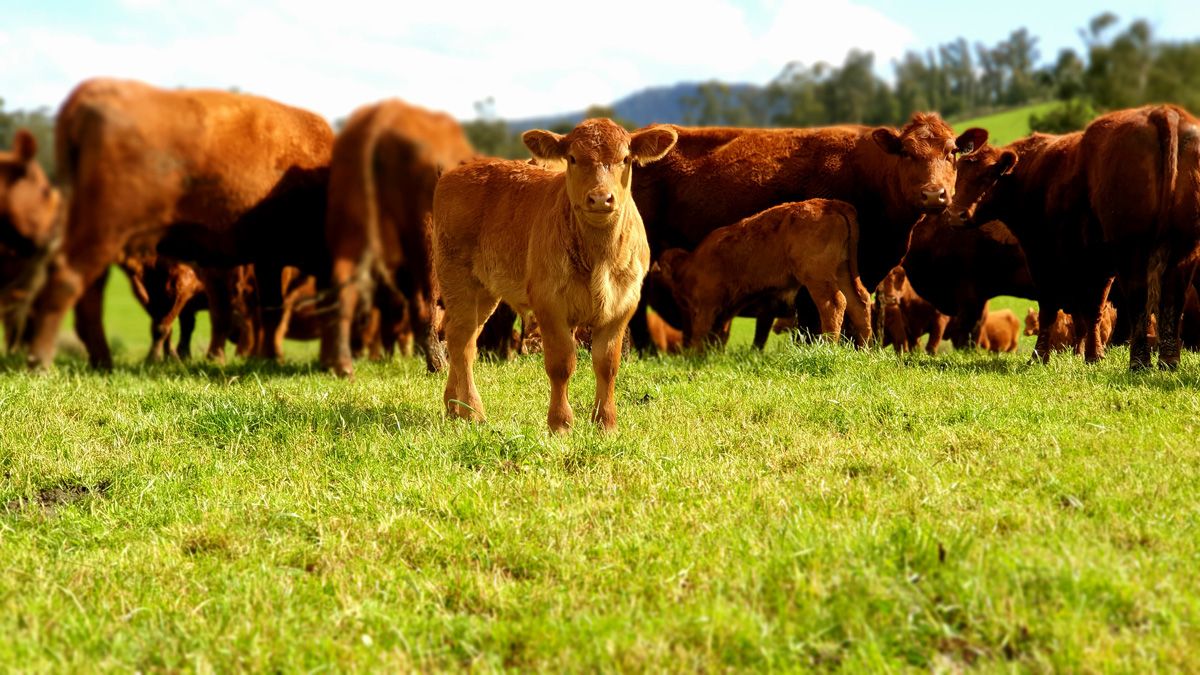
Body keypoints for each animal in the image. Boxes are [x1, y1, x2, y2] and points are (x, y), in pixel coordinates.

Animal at [26, 78, 333, 370]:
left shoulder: (268, 259)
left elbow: (271, 309)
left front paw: (269, 359)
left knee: (88, 294)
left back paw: (101, 361)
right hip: (102, 232)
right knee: (67, 281)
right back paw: (41, 361)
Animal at [322, 99, 476, 377]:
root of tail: (383, 114)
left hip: (349, 227)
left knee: (344, 291)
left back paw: (344, 366)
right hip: (426, 237)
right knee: (424, 303)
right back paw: (438, 365)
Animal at [433, 118, 677, 432]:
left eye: (625, 159)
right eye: (572, 158)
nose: (600, 198)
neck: (599, 258)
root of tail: (457, 172)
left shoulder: (623, 304)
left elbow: (607, 364)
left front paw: (606, 424)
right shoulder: (550, 303)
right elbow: (562, 364)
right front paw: (560, 424)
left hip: (485, 290)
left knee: (465, 337)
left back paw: (454, 406)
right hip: (456, 276)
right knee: (461, 340)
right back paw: (472, 411)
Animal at [653, 199, 871, 351]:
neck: (690, 265)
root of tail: (831, 204)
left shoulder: (706, 305)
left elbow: (701, 332)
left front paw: (694, 356)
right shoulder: (725, 309)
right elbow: (719, 334)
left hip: (817, 277)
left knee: (834, 303)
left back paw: (828, 347)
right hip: (842, 271)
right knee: (859, 302)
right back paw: (865, 350)